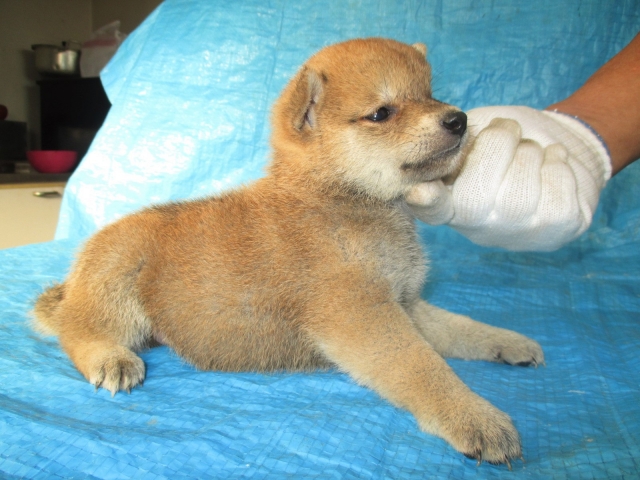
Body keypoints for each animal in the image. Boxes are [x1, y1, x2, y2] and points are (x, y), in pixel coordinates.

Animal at [33, 38, 543, 466]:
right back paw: (109, 358)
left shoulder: (407, 305)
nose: (458, 118)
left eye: (431, 95)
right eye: (382, 113)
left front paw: (508, 342)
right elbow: (421, 367)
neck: (336, 200)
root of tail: (75, 283)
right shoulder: (362, 314)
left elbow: (460, 329)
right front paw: (474, 416)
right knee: (76, 330)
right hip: (117, 279)